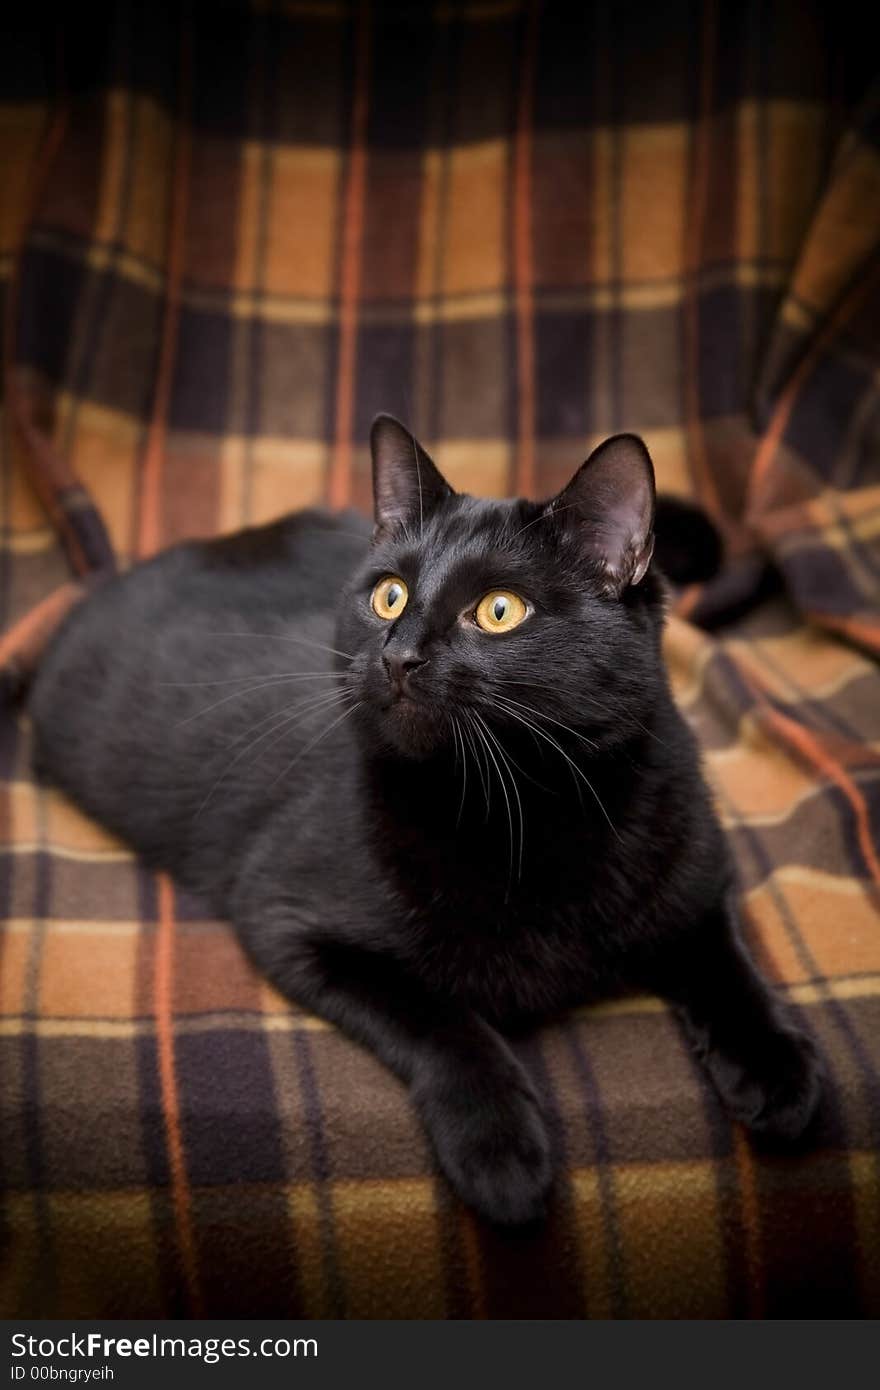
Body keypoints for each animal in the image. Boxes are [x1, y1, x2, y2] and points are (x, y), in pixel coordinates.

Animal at [29, 417, 823, 1223]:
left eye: (500, 610)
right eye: (389, 595)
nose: (398, 654)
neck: (525, 818)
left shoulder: (697, 876)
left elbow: (728, 964)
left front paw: (779, 1072)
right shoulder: (289, 924)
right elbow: (442, 1018)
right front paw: (500, 1150)